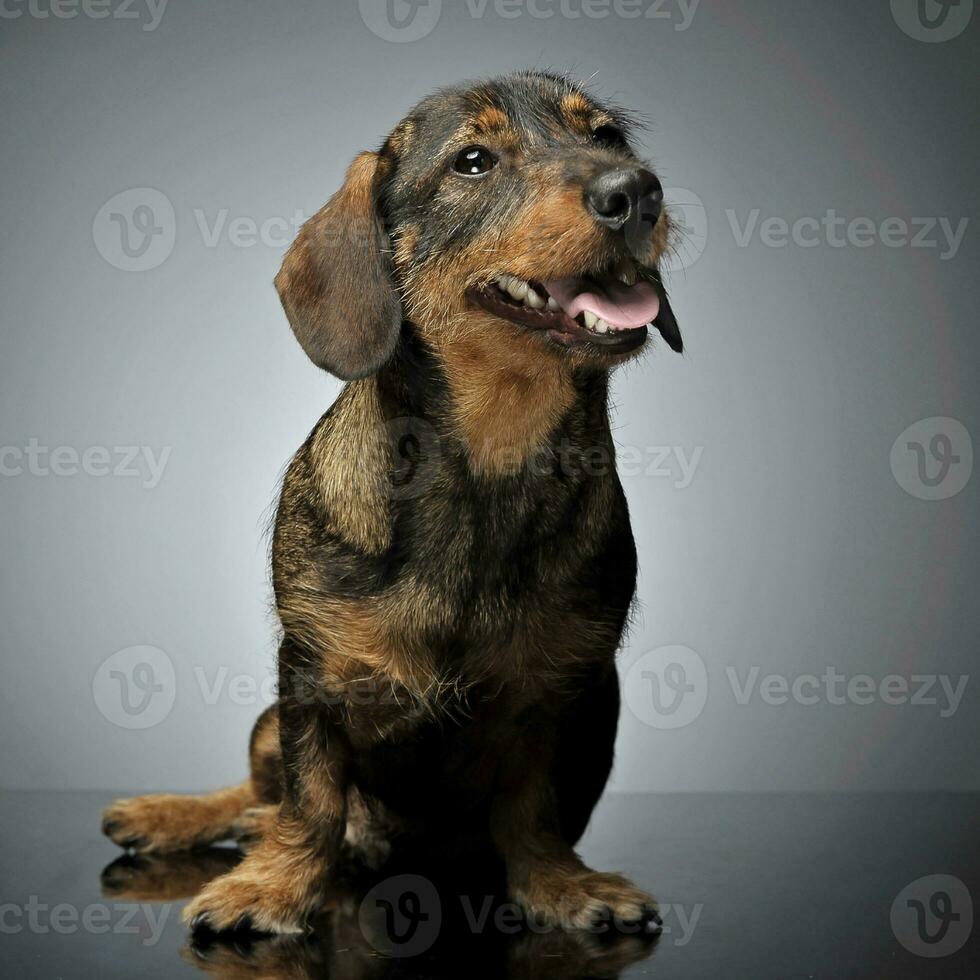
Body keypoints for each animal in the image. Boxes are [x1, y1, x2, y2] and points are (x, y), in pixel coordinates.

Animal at [99, 71, 680, 936]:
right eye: (473, 162)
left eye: (605, 136)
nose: (635, 192)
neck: (488, 455)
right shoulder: (310, 676)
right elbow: (311, 799)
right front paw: (274, 887)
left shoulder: (562, 690)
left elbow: (533, 809)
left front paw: (559, 884)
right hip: (268, 723)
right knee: (261, 791)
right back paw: (177, 815)